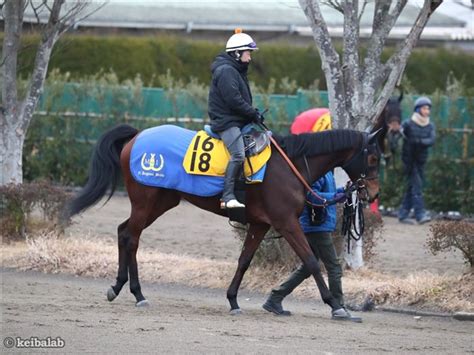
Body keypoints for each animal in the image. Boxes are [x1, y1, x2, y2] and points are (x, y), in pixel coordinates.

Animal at [66, 125, 382, 314]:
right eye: (374, 158)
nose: (374, 193)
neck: (290, 164)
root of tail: (136, 136)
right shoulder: (286, 222)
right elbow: (312, 261)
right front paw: (334, 304)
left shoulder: (260, 224)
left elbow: (244, 261)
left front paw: (232, 299)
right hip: (145, 201)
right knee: (132, 238)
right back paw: (137, 293)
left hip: (160, 202)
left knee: (123, 231)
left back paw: (119, 286)